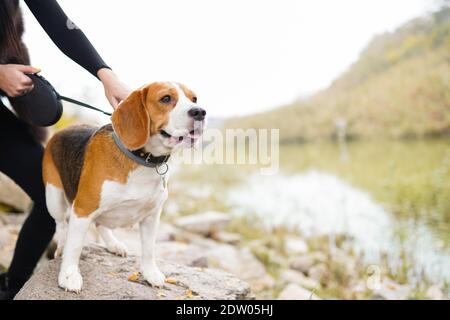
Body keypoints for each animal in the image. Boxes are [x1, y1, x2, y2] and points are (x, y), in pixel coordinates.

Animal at [41, 82, 207, 292]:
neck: (142, 160)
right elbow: (75, 246)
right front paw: (69, 275)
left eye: (194, 99)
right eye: (166, 98)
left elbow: (149, 249)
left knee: (100, 223)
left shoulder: (152, 216)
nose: (200, 112)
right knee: (61, 224)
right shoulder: (83, 209)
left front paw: (150, 273)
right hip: (53, 197)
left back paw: (114, 244)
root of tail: (64, 129)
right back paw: (62, 245)